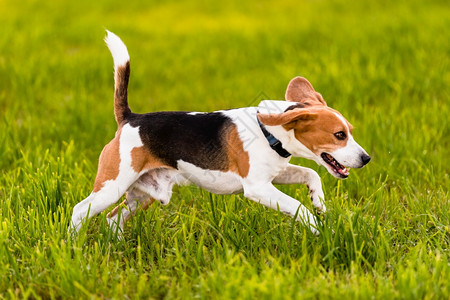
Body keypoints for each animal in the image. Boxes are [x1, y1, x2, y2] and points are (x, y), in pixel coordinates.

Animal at [69, 31, 370, 236]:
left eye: (350, 131)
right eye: (339, 135)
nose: (367, 159)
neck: (269, 132)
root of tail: (130, 118)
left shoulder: (275, 173)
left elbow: (311, 174)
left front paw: (319, 201)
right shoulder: (258, 188)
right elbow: (297, 206)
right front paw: (318, 228)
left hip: (144, 194)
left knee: (113, 218)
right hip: (113, 184)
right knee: (80, 211)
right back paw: (74, 248)